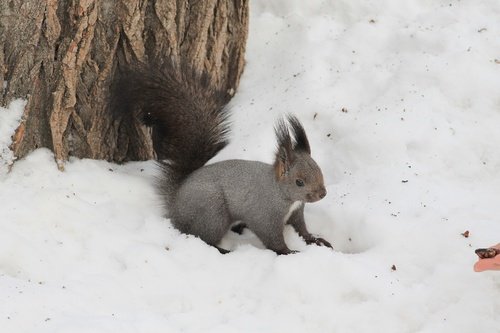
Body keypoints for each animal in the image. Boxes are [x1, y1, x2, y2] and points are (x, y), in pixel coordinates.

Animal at [111, 61, 334, 254]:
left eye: (320, 171)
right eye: (299, 182)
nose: (322, 194)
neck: (281, 193)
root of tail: (175, 203)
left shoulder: (296, 211)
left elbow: (301, 228)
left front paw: (314, 239)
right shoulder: (264, 215)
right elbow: (272, 238)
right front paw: (288, 252)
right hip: (213, 212)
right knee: (202, 237)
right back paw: (223, 250)